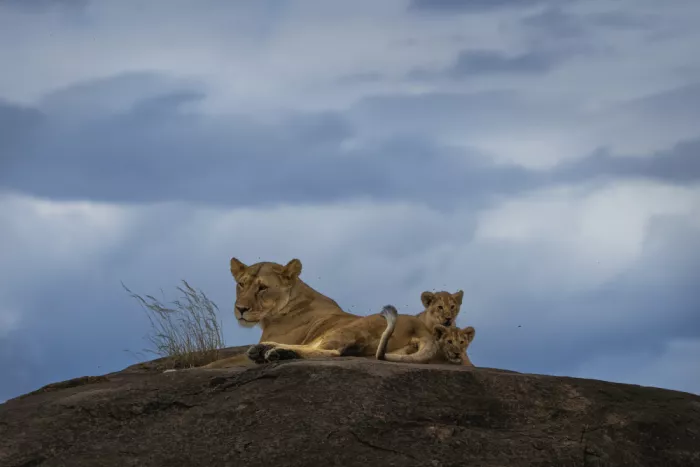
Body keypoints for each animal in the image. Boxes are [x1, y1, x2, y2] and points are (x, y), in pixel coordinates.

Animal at [204, 257, 442, 367]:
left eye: (262, 287)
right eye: (241, 284)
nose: (241, 309)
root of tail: (421, 328)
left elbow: (218, 362)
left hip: (349, 328)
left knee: (331, 351)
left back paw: (272, 352)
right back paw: (268, 351)